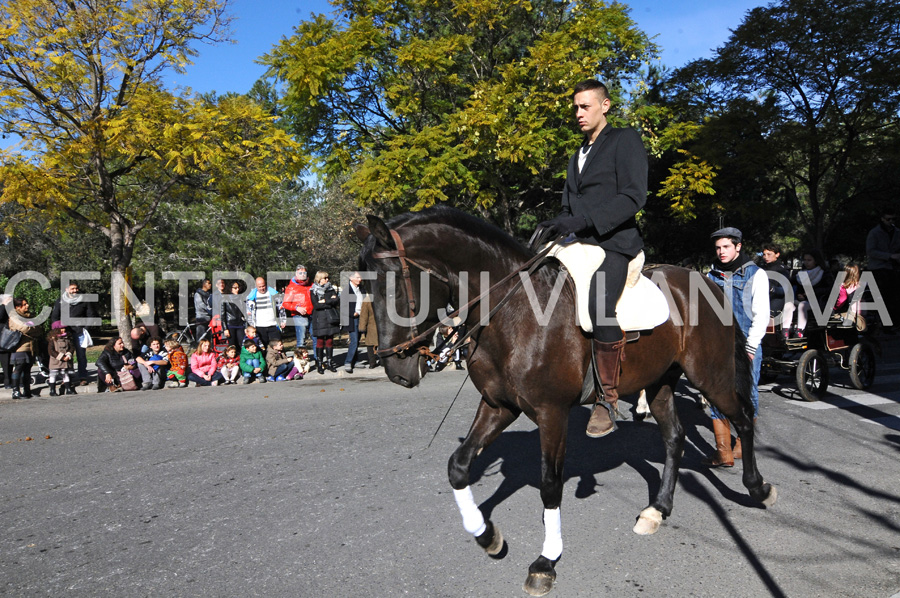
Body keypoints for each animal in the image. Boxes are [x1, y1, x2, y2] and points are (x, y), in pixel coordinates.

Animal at [356, 209, 776, 596]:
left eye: (394, 287)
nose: (396, 367)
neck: (516, 311)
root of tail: (707, 280)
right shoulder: (498, 405)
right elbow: (458, 467)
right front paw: (487, 535)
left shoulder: (552, 412)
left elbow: (549, 484)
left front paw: (545, 562)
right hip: (659, 383)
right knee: (674, 437)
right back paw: (657, 510)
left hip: (711, 376)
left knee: (743, 419)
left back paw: (757, 488)